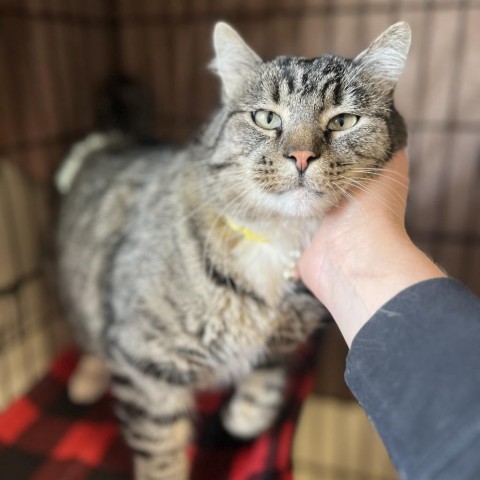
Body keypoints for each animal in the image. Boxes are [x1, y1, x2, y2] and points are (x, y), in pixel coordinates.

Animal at [55, 21, 408, 480]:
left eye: (343, 120)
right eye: (266, 118)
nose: (300, 156)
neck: (277, 238)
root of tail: (117, 141)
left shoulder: (285, 344)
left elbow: (264, 385)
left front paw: (244, 416)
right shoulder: (147, 367)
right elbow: (161, 454)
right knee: (92, 337)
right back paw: (87, 378)